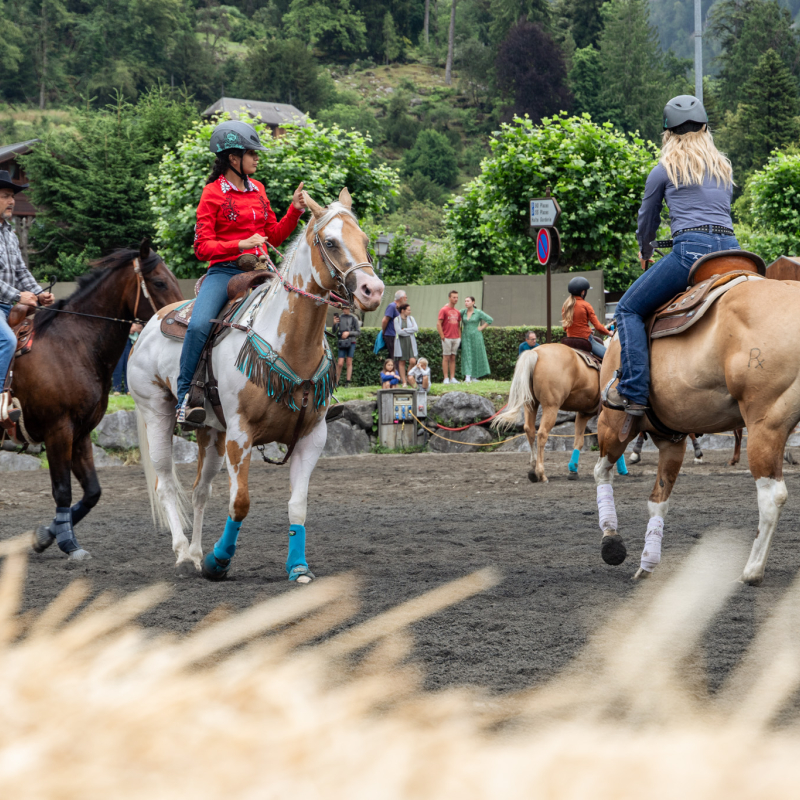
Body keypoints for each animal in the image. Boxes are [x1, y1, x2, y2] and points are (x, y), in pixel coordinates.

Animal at [12, 244, 182, 564]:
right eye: (159, 282)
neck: (73, 345)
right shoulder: (58, 431)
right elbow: (62, 490)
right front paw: (69, 543)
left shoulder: (80, 433)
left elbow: (92, 492)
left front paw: (45, 536)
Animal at [128, 188, 384, 580]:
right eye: (330, 242)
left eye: (366, 240)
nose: (373, 290)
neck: (291, 344)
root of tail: (147, 326)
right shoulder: (240, 435)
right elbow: (240, 503)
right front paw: (219, 561)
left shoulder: (312, 437)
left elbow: (297, 505)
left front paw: (298, 567)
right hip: (157, 414)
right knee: (166, 484)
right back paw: (185, 555)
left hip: (211, 434)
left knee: (200, 490)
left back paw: (197, 552)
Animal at [494, 344, 624, 482]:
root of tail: (536, 352)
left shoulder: (583, 414)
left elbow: (579, 441)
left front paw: (573, 470)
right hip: (551, 407)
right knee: (542, 433)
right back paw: (541, 473)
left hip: (530, 404)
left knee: (530, 430)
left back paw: (533, 469)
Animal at [592, 278, 800, 584]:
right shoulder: (672, 438)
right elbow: (658, 499)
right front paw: (648, 562)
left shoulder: (613, 422)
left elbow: (602, 472)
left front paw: (611, 539)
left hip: (766, 424)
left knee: (772, 496)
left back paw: (752, 570)